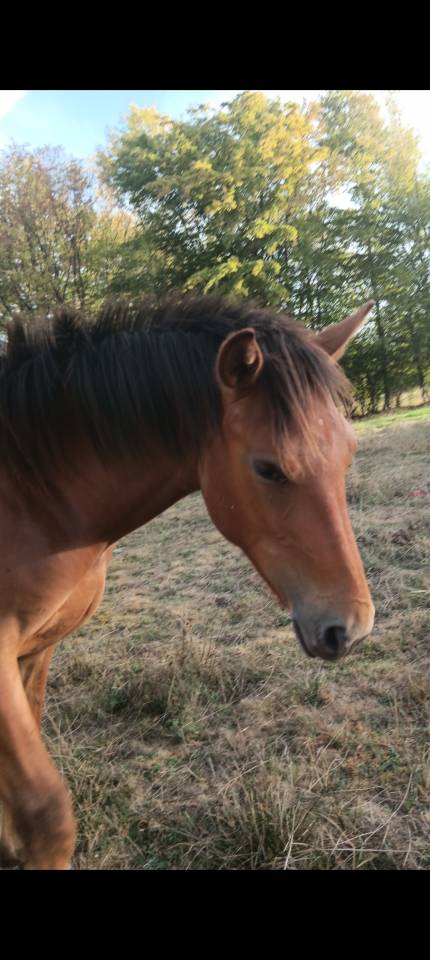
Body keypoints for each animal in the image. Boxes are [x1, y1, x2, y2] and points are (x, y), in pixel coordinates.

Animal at [0, 293, 375, 870]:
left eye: (349, 454)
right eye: (268, 469)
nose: (350, 628)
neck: (31, 495)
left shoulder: (35, 651)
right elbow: (47, 818)